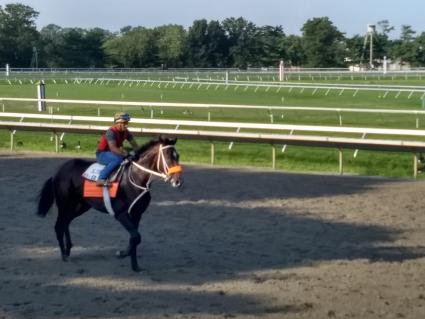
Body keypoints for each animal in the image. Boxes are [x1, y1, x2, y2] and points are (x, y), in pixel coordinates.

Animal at [35, 136, 181, 272]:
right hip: (64, 203)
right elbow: (136, 237)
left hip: (81, 205)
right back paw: (64, 255)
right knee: (59, 225)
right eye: (168, 156)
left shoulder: (137, 214)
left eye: (177, 156)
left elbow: (134, 238)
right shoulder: (121, 214)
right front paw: (122, 253)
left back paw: (68, 249)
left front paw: (134, 265)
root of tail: (58, 172)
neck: (135, 179)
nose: (177, 181)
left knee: (66, 222)